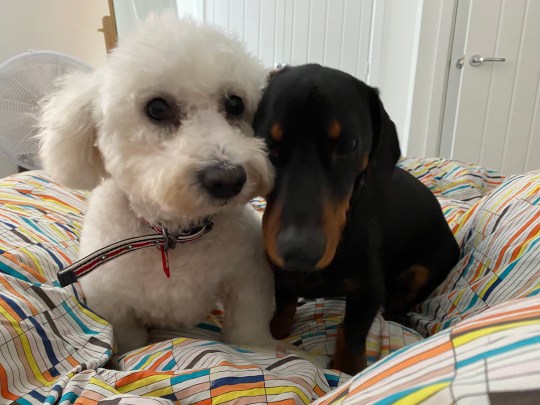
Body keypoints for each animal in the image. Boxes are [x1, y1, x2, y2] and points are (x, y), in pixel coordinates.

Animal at [39, 14, 274, 352]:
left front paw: (263, 349)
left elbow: (248, 329)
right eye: (157, 108)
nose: (228, 178)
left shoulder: (248, 278)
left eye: (234, 104)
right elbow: (129, 341)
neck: (173, 235)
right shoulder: (112, 303)